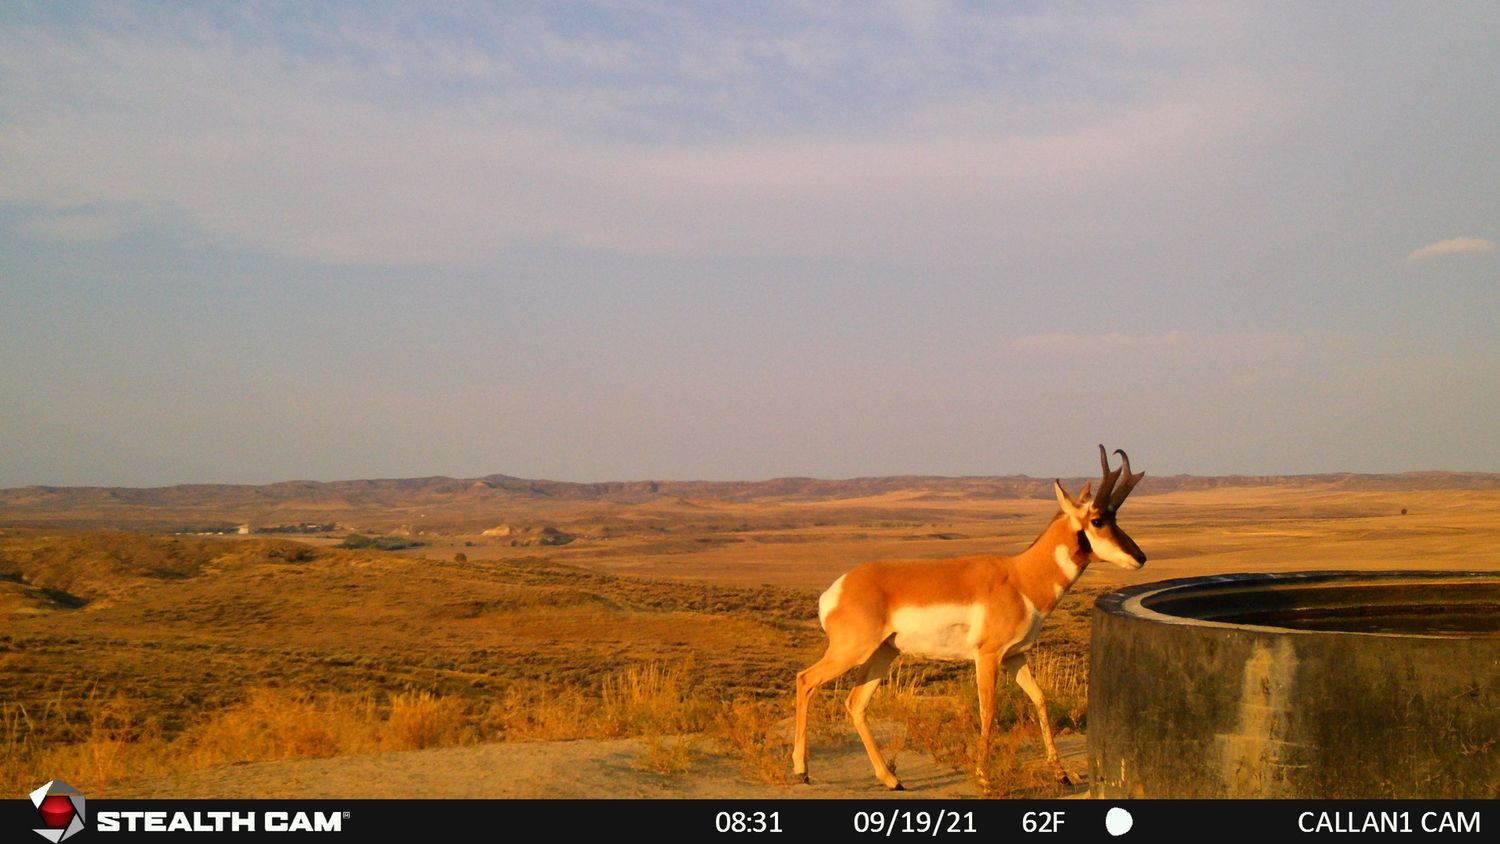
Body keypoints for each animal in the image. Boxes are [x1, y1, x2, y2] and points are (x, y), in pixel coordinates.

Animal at [792, 445, 1147, 790]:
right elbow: (988, 709)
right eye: (1098, 520)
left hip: (882, 654)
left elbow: (1040, 699)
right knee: (806, 680)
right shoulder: (987, 656)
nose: (1140, 557)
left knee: (855, 703)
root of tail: (837, 588)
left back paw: (891, 779)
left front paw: (1062, 774)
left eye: (1116, 516)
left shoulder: (1015, 657)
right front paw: (984, 776)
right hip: (852, 652)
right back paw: (802, 771)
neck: (1020, 577)